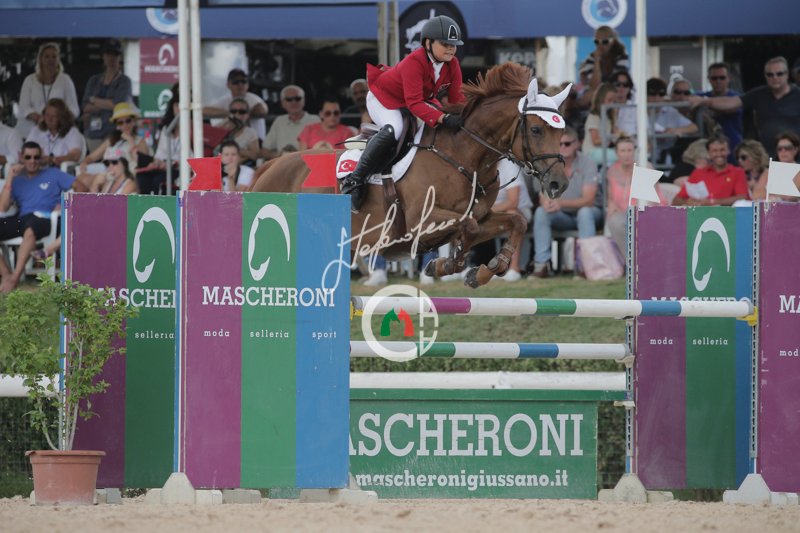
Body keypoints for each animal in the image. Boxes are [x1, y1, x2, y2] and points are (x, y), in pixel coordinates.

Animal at [250, 62, 570, 288]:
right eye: (536, 129)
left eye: (562, 132)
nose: (559, 184)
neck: (464, 155)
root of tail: (269, 167)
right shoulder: (422, 221)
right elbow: (468, 229)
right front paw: (448, 266)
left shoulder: (481, 215)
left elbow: (515, 221)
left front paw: (486, 269)